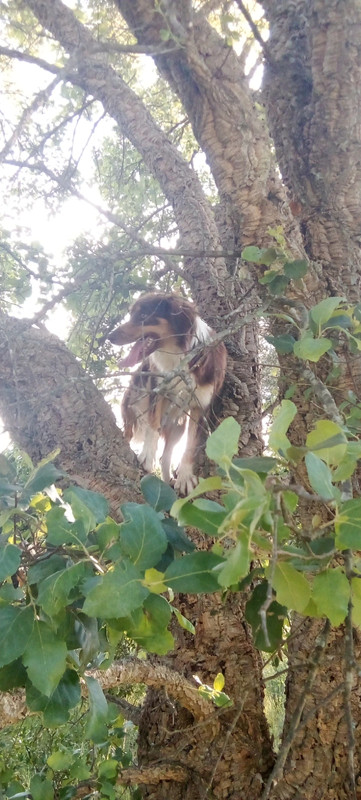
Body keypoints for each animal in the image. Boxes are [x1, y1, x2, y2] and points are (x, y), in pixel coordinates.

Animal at [105, 292, 226, 494]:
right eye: (131, 314)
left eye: (143, 315)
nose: (109, 337)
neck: (178, 356)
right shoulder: (158, 390)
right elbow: (152, 426)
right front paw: (147, 455)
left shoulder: (201, 406)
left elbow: (191, 445)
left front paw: (185, 476)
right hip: (130, 409)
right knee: (129, 434)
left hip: (178, 426)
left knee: (166, 456)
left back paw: (168, 481)